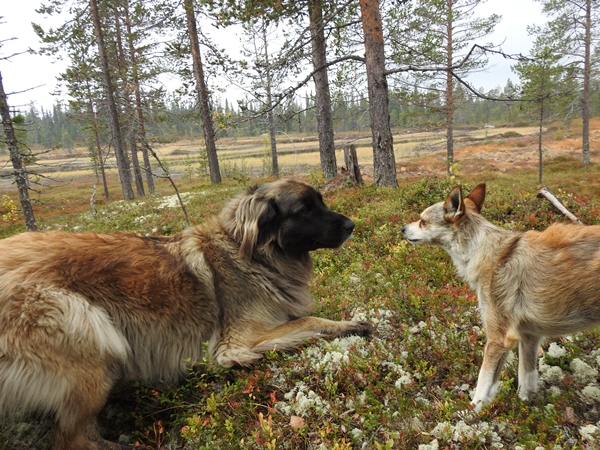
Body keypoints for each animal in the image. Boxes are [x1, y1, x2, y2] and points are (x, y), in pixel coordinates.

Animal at [0, 179, 370, 450]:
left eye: (321, 202)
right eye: (306, 209)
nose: (352, 224)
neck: (253, 254)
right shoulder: (236, 344)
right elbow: (309, 321)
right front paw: (351, 324)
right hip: (91, 333)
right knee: (72, 439)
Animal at [400, 183, 600, 412]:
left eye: (422, 221)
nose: (402, 228)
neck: (484, 251)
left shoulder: (498, 339)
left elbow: (483, 383)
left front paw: (471, 414)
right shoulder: (529, 337)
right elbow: (525, 379)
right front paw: (522, 407)